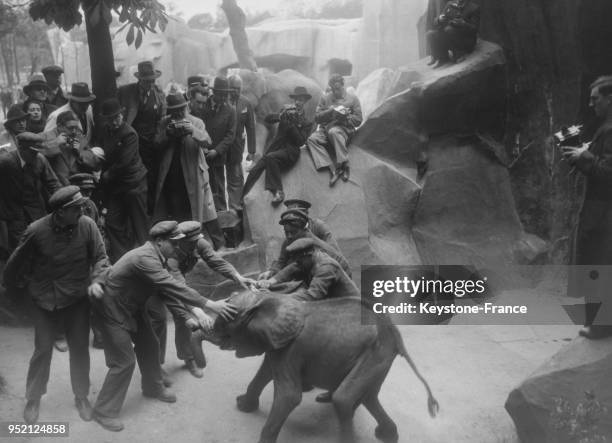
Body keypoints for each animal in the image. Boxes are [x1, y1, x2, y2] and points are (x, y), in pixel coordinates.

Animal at [210, 292, 440, 443]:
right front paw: (242, 405)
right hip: (380, 357)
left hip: (375, 353)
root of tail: (392, 330)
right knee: (368, 396)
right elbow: (264, 373)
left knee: (345, 399)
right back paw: (386, 435)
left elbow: (289, 396)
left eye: (225, 320)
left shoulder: (291, 349)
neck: (266, 298)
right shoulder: (277, 344)